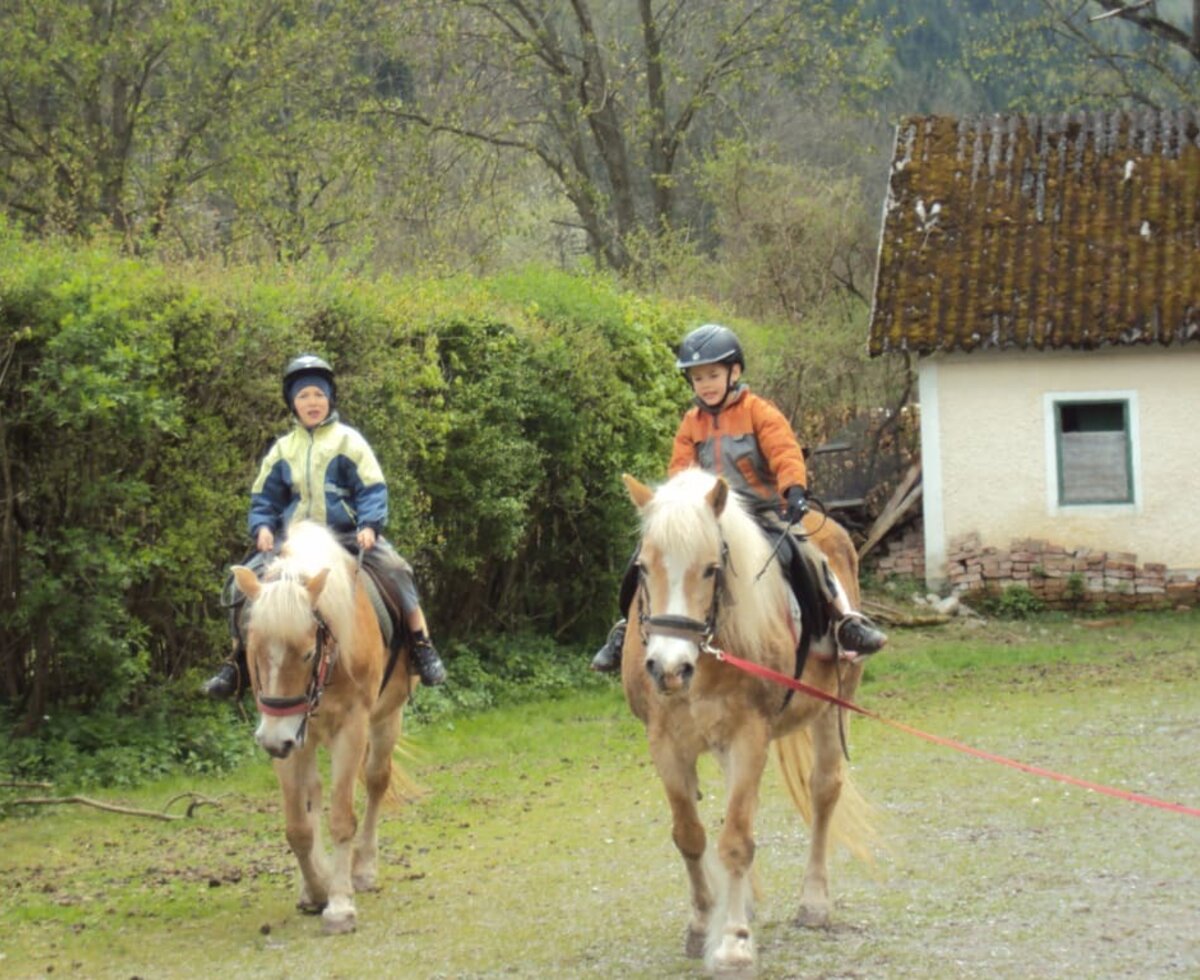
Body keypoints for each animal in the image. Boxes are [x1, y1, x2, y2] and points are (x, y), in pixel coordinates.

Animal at [231, 520, 415, 930]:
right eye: (253, 649)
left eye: (308, 652)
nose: (275, 740)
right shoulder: (283, 736)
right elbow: (298, 825)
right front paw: (316, 890)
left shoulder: (351, 728)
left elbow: (343, 817)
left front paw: (340, 904)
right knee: (313, 792)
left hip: (387, 717)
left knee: (377, 780)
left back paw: (363, 870)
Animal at [619, 467, 873, 969]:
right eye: (643, 568)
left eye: (710, 569)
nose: (668, 668)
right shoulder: (665, 743)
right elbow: (690, 835)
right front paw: (703, 925)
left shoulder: (749, 735)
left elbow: (736, 839)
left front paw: (734, 941)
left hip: (832, 705)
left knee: (824, 791)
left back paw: (814, 903)